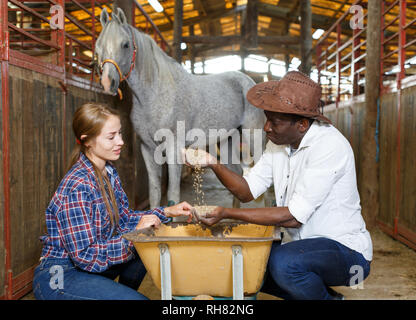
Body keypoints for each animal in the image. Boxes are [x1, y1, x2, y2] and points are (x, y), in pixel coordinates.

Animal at [95, 8, 264, 209]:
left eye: (126, 45)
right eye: (98, 47)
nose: (108, 83)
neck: (154, 95)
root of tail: (249, 81)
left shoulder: (174, 148)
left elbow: (173, 194)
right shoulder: (148, 149)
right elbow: (154, 193)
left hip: (254, 137)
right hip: (227, 141)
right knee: (237, 176)